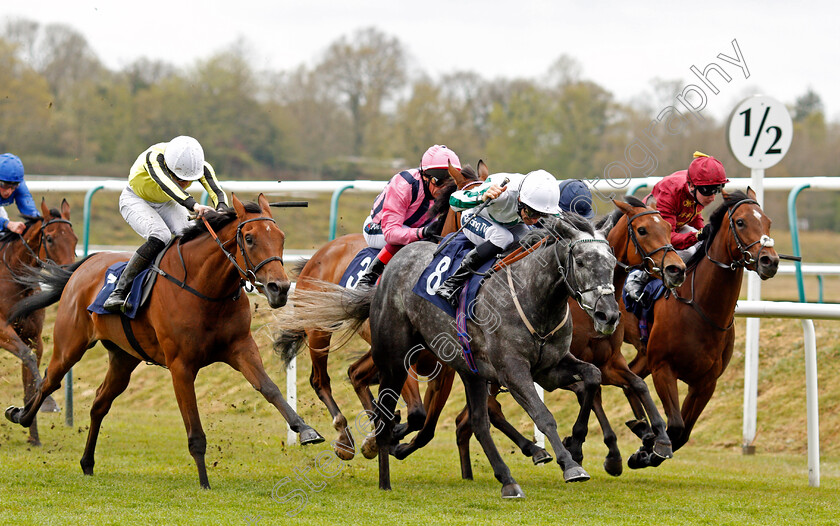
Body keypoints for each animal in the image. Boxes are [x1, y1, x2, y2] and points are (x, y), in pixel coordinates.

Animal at [0, 200, 76, 448]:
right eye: (49, 238)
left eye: (74, 238)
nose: (67, 274)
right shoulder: (1, 330)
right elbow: (28, 357)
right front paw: (49, 403)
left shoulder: (34, 337)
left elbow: (30, 376)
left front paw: (33, 436)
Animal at [278, 214, 620, 500]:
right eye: (581, 260)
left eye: (613, 261)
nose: (608, 314)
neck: (534, 298)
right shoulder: (513, 371)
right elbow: (543, 415)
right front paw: (569, 464)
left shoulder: (548, 367)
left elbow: (591, 377)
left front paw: (576, 444)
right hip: (392, 358)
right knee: (368, 399)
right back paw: (380, 468)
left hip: (469, 371)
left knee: (479, 422)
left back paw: (507, 480)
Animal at [624, 188, 780, 468]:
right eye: (741, 222)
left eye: (768, 222)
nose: (769, 261)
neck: (702, 308)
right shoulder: (663, 368)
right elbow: (675, 425)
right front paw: (649, 450)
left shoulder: (706, 382)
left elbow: (683, 433)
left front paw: (645, 448)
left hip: (644, 354)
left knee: (630, 378)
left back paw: (640, 426)